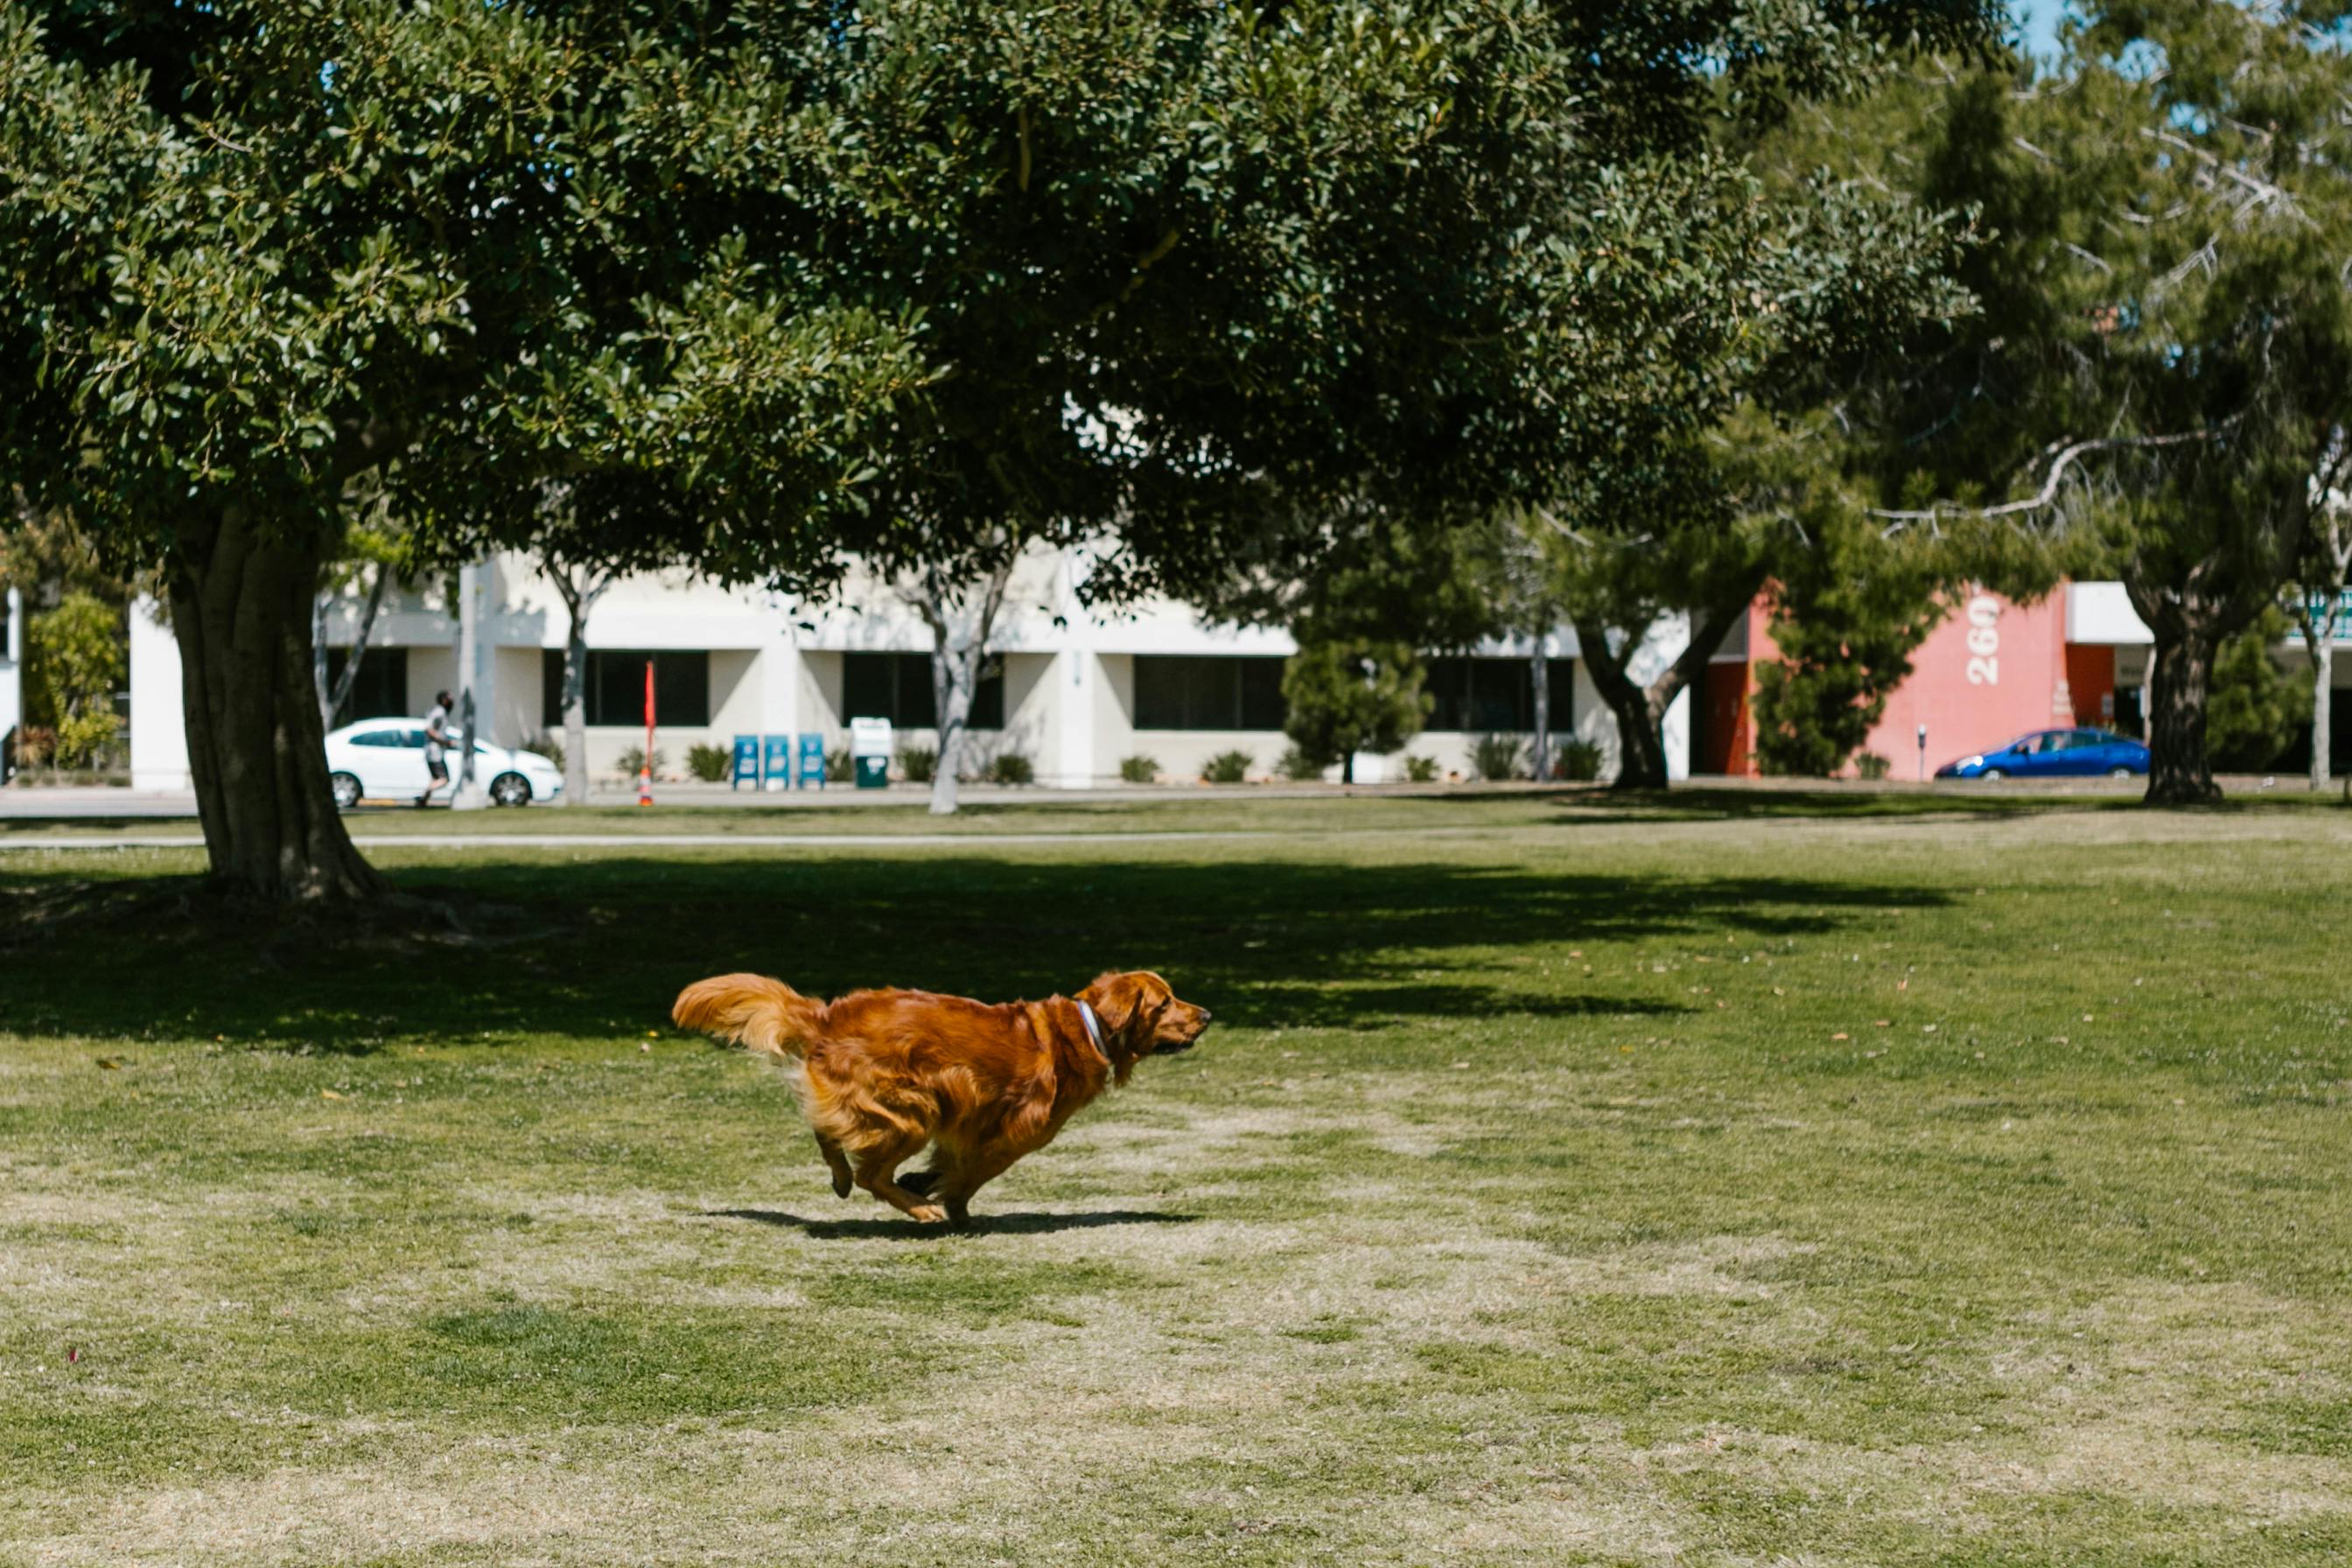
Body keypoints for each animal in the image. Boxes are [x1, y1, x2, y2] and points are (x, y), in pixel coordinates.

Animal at [668, 968, 1204, 1222]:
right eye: (1165, 1003)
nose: (1208, 1015)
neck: (1084, 1029)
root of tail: (826, 1016)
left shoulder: (969, 1125)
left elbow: (949, 1165)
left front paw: (925, 1182)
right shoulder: (1012, 1135)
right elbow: (970, 1176)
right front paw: (950, 1206)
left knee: (829, 1136)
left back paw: (846, 1179)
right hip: (915, 1109)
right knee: (869, 1173)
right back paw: (917, 1208)